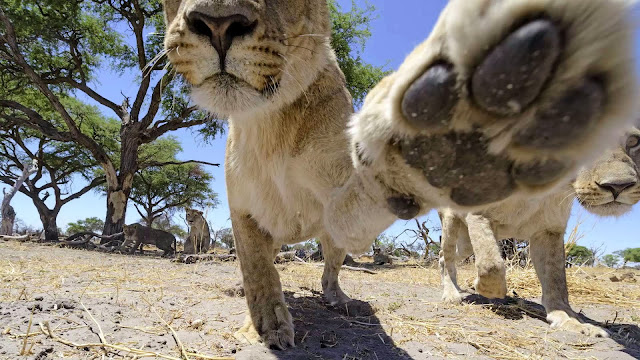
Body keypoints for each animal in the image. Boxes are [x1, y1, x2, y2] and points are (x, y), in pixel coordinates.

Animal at [438, 127, 640, 338]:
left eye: (634, 141)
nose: (618, 186)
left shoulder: (549, 230)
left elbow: (556, 280)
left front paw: (570, 320)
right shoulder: (478, 214)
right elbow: (491, 265)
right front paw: (482, 286)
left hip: (467, 244)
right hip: (452, 221)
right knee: (446, 256)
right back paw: (451, 294)